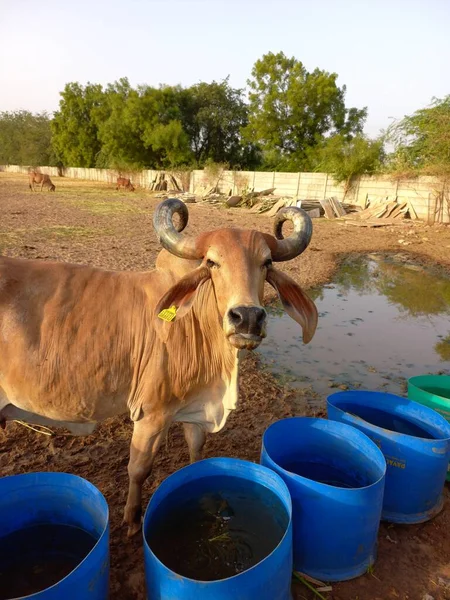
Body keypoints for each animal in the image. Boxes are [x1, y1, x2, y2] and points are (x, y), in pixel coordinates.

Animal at [0, 198, 318, 536]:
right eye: (211, 263)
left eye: (267, 262)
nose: (247, 318)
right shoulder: (151, 413)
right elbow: (139, 468)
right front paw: (131, 519)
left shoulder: (193, 408)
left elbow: (196, 453)